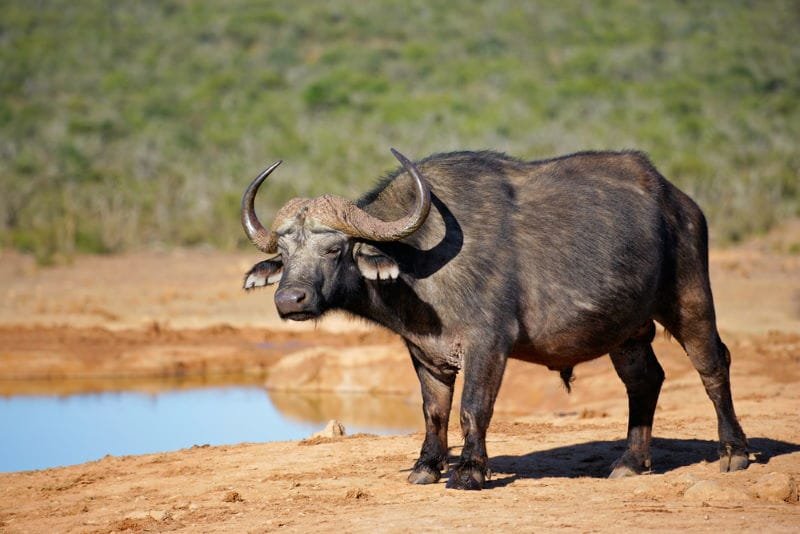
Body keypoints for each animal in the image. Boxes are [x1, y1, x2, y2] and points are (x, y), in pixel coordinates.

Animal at [241, 148, 748, 490]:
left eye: (334, 248)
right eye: (283, 253)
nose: (289, 299)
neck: (419, 263)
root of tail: (680, 202)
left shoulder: (488, 344)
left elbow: (473, 408)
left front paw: (469, 471)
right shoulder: (424, 352)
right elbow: (434, 411)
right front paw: (426, 467)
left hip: (690, 300)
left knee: (713, 365)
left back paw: (735, 453)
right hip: (627, 331)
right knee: (645, 381)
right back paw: (630, 462)